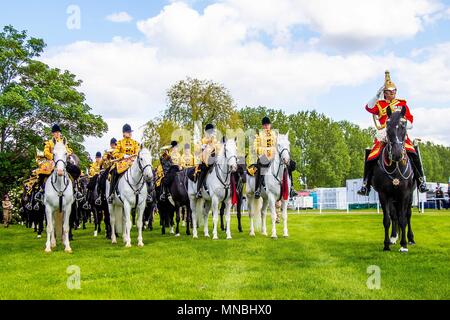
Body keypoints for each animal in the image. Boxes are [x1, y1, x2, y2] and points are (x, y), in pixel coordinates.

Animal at [372, 107, 414, 252]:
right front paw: (386, 244)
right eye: (388, 126)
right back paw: (393, 237)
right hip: (393, 199)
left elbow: (403, 219)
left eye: (403, 126)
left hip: (409, 196)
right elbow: (387, 219)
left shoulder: (405, 194)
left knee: (407, 215)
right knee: (394, 216)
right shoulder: (384, 195)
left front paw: (404, 244)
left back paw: (410, 238)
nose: (397, 154)